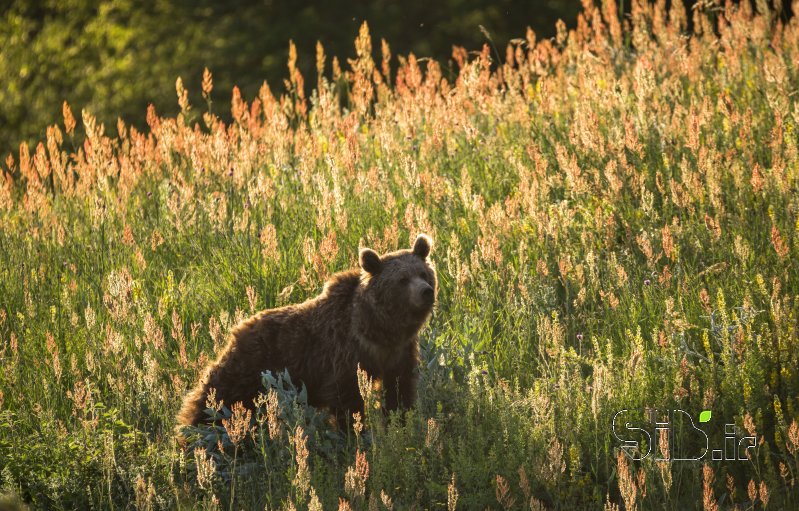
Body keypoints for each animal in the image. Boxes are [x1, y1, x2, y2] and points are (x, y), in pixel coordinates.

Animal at [178, 234, 438, 430]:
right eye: (402, 279)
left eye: (423, 274)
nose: (426, 291)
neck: (378, 329)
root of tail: (236, 331)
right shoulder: (343, 354)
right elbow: (347, 399)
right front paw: (354, 431)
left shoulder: (399, 352)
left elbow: (399, 390)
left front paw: (401, 423)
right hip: (250, 366)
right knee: (214, 398)